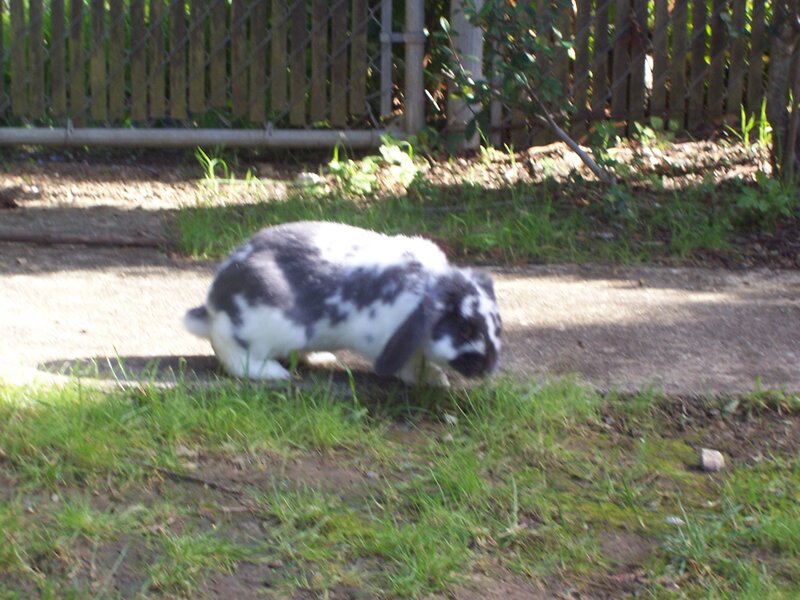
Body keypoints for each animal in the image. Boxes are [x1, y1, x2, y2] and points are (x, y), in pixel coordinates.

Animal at [184, 221, 501, 385]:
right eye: (465, 329)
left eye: (497, 325)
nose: (487, 367)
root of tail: (214, 303)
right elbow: (408, 366)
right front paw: (431, 379)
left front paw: (435, 377)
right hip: (269, 326)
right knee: (230, 352)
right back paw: (274, 373)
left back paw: (320, 358)